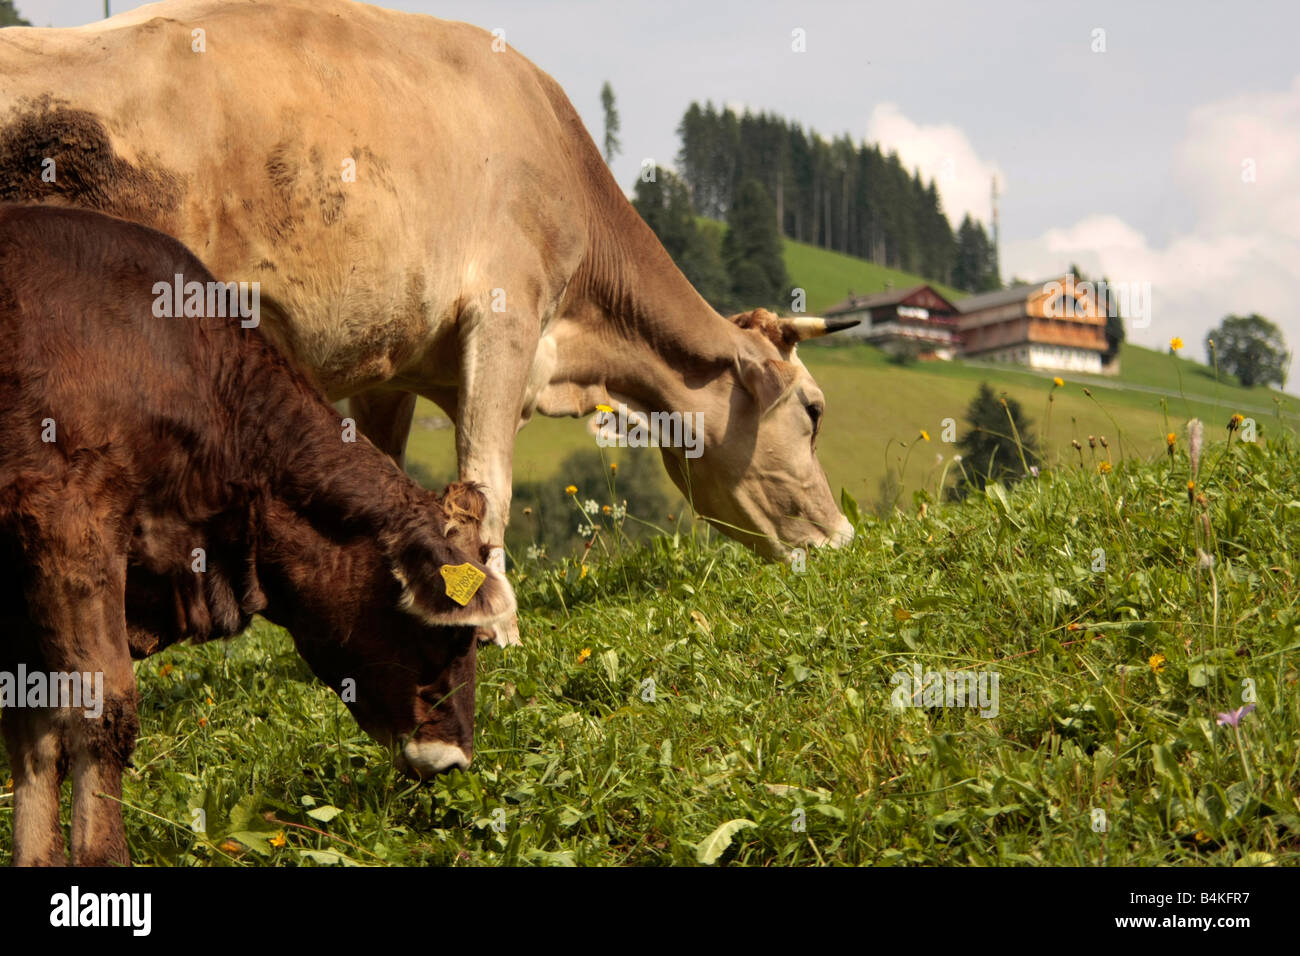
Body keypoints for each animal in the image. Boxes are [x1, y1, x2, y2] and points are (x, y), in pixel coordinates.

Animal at [2, 0, 863, 647]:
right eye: (814, 412)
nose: (847, 542)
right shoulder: (505, 312)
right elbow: (490, 480)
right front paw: (497, 625)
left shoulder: (388, 361)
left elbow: (373, 478)